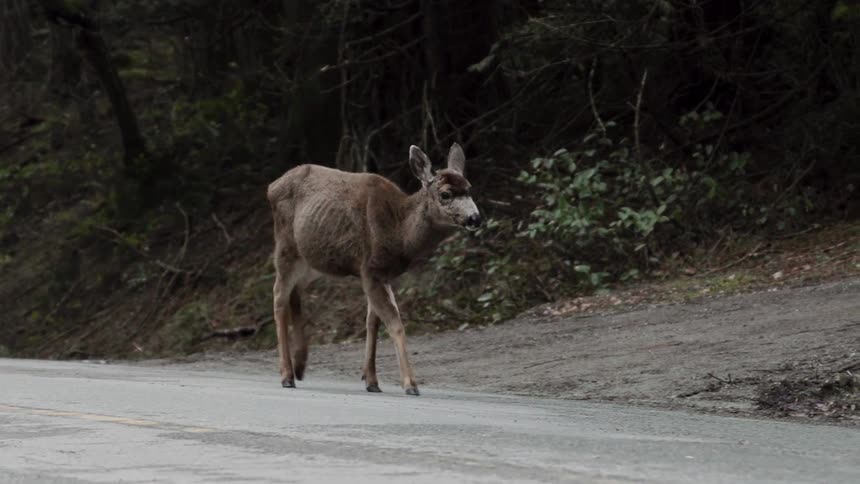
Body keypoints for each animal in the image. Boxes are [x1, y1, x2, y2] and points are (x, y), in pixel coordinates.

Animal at [266, 143, 481, 396]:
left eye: (469, 188)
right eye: (446, 194)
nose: (475, 218)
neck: (399, 232)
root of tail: (271, 186)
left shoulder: (384, 274)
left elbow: (373, 322)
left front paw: (371, 380)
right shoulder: (369, 268)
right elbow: (394, 323)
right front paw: (410, 383)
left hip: (312, 261)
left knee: (295, 293)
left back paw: (300, 365)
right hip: (286, 247)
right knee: (279, 296)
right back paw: (287, 374)